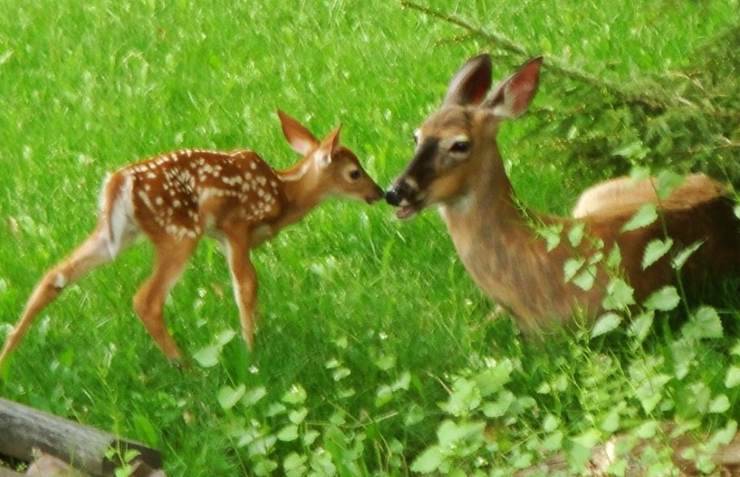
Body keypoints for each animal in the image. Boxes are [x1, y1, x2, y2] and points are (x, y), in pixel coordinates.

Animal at [0, 111, 384, 368]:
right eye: (355, 172)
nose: (380, 192)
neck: (284, 194)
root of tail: (119, 183)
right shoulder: (236, 225)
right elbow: (246, 285)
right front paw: (252, 349)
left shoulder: (227, 239)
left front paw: (257, 336)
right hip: (178, 233)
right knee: (146, 299)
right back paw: (185, 366)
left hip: (115, 236)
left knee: (55, 275)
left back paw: (7, 357)